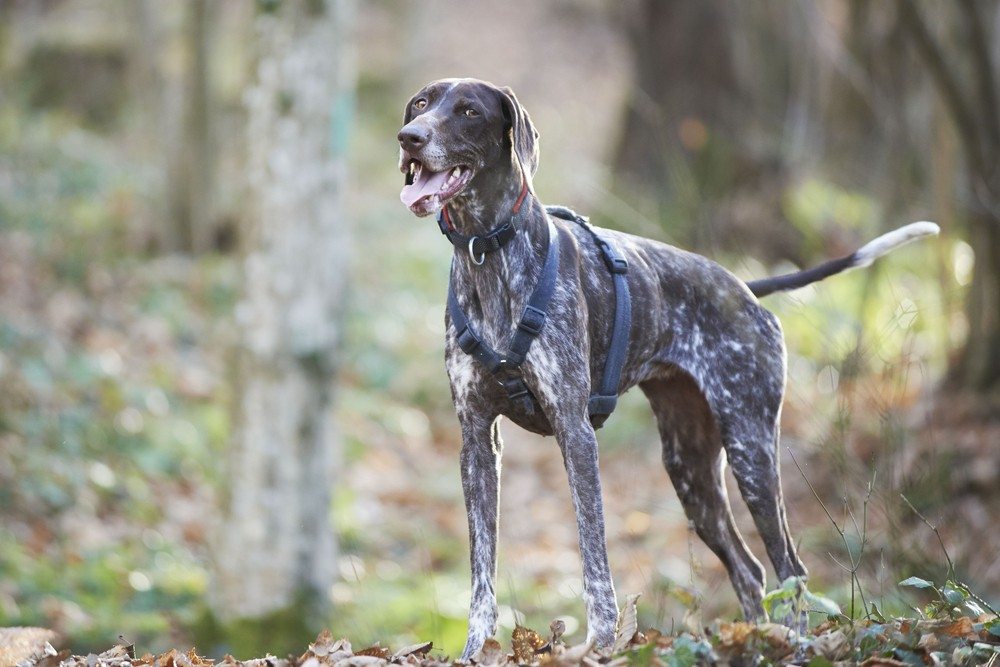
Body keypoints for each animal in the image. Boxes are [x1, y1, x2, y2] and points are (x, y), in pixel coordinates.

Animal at [396, 77, 936, 656]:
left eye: (468, 111)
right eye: (421, 104)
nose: (409, 137)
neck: (488, 254)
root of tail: (746, 289)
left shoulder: (575, 433)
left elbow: (595, 563)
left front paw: (602, 646)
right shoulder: (477, 442)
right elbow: (482, 575)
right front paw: (476, 651)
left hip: (751, 452)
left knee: (791, 569)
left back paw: (792, 646)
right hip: (691, 471)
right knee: (749, 571)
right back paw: (754, 639)